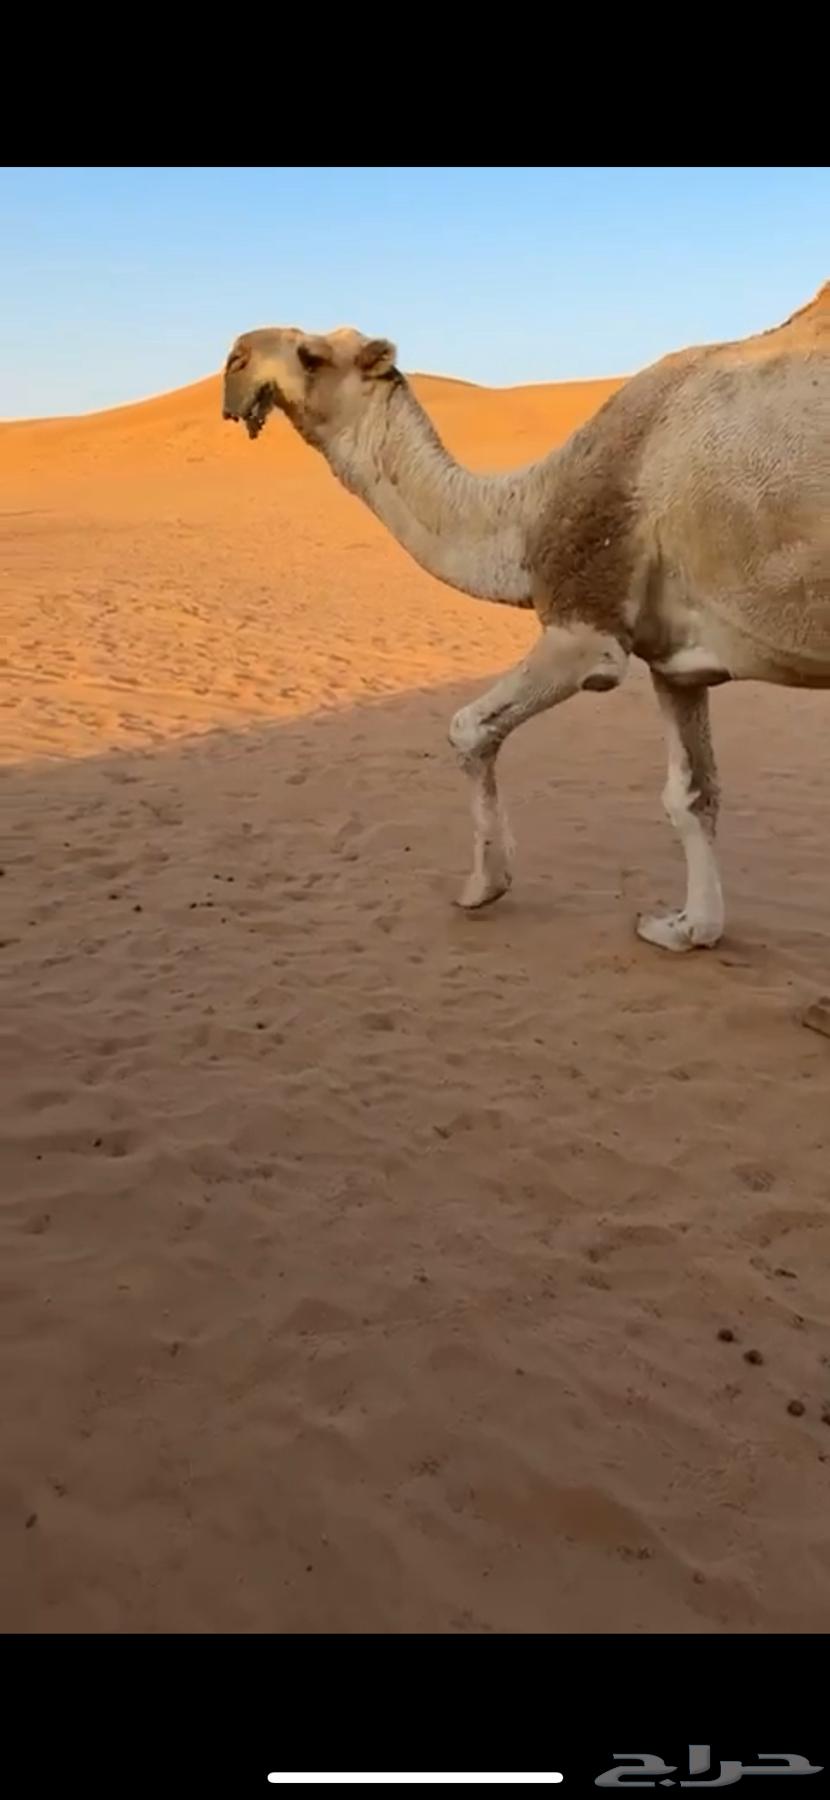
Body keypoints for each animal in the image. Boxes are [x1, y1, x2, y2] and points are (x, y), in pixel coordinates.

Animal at [222, 282, 830, 951]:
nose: (235, 360)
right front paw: (687, 928)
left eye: (310, 355)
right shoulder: (675, 663)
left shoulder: (585, 626)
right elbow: (691, 794)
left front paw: (482, 886)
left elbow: (467, 726)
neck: (530, 510)